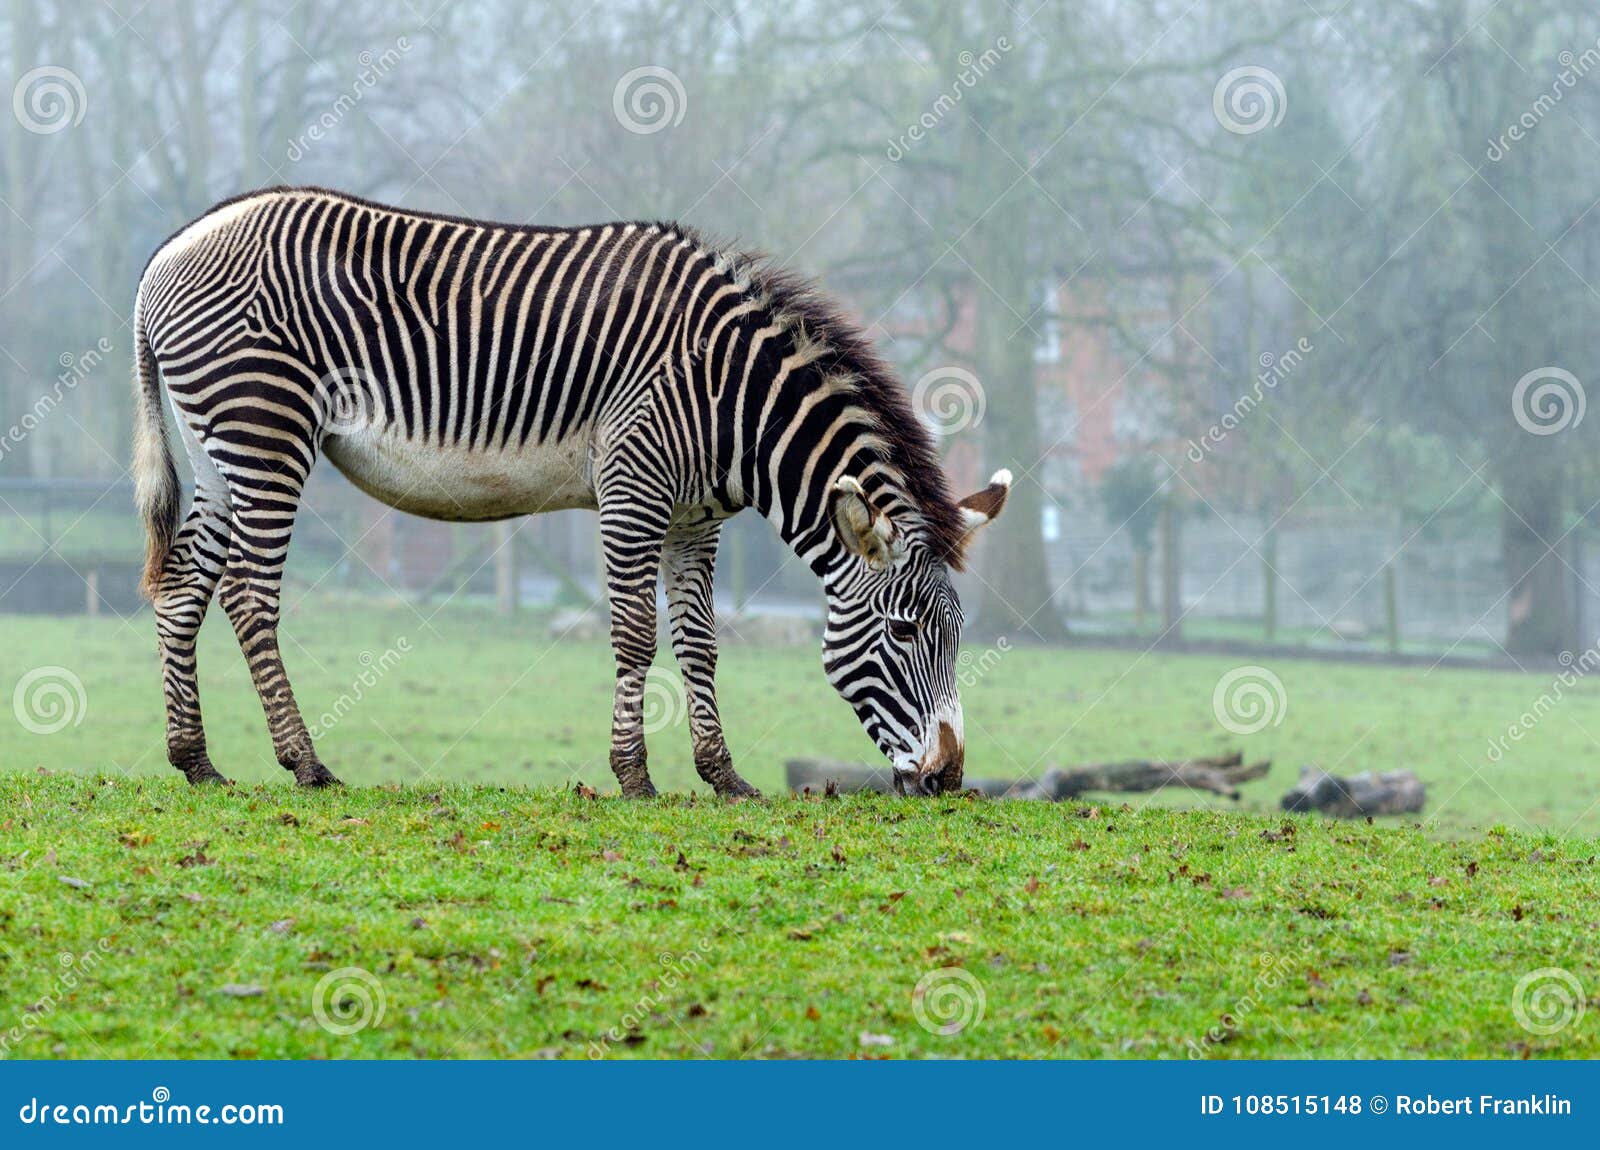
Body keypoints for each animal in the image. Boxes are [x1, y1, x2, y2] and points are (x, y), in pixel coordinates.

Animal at [137, 188, 1011, 799]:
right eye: (903, 632)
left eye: (958, 633)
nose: (947, 778)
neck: (733, 397)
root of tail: (170, 250)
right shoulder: (633, 487)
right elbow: (635, 635)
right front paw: (634, 776)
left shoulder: (694, 519)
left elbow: (701, 644)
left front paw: (724, 777)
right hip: (265, 432)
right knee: (248, 596)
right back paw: (305, 762)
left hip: (217, 452)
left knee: (182, 587)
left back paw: (195, 761)